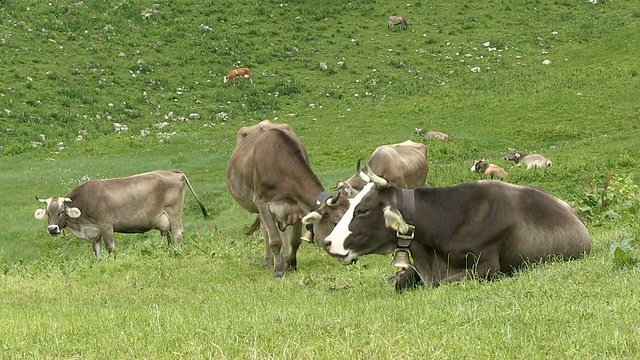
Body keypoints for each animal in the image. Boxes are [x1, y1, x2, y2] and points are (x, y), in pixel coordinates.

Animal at [33, 171, 208, 258]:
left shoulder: (106, 225)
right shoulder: (94, 232)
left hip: (174, 213)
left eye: (62, 211)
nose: (52, 229)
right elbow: (97, 253)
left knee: (178, 234)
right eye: (47, 213)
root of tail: (172, 171)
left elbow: (111, 248)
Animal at [228, 121, 342, 278]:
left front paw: (291, 265)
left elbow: (295, 240)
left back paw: (284, 259)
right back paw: (268, 262)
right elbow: (274, 240)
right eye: (335, 223)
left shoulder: (299, 206)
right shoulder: (263, 203)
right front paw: (278, 270)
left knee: (283, 232)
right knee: (266, 231)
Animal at [322, 167, 592, 292]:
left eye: (362, 210)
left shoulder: (488, 267)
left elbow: (444, 283)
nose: (327, 242)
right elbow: (401, 281)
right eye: (351, 205)